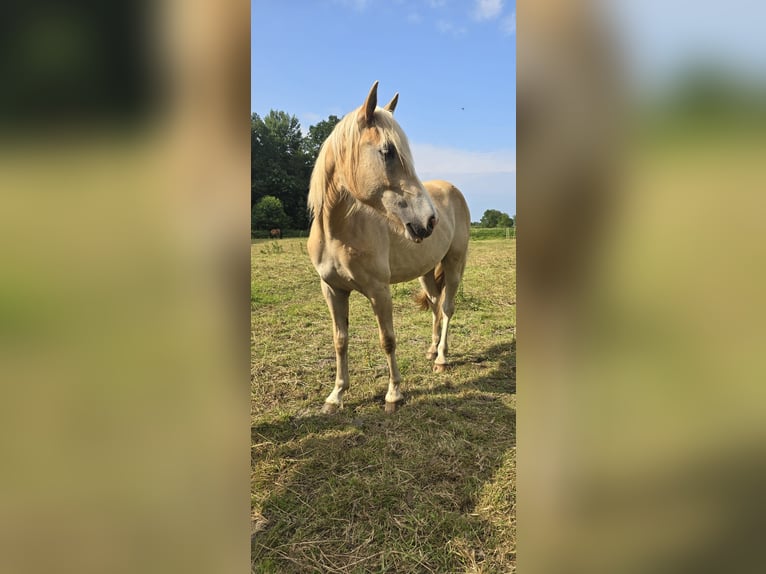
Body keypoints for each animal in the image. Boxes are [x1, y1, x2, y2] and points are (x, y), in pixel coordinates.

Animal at [308, 81, 472, 414]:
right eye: (387, 152)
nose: (429, 221)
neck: (338, 232)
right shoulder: (331, 289)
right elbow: (340, 340)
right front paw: (336, 395)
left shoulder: (379, 290)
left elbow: (387, 339)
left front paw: (394, 394)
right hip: (425, 272)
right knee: (435, 305)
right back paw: (431, 349)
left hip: (454, 264)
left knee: (447, 308)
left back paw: (441, 358)